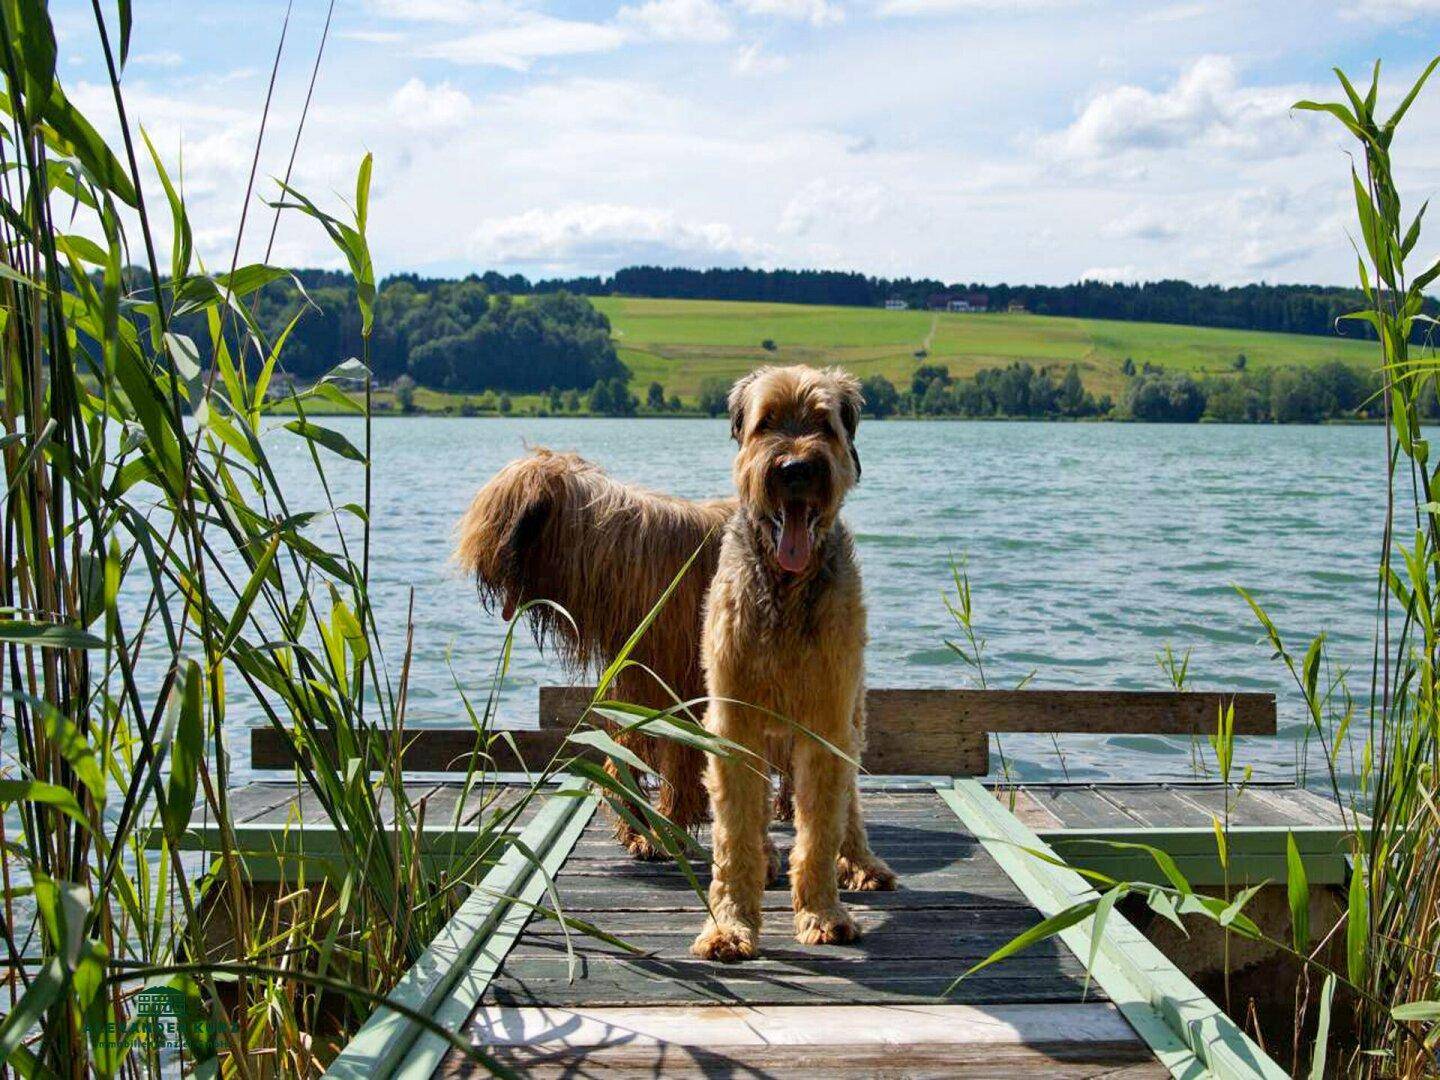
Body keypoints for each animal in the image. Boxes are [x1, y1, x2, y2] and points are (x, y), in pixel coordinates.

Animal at [691, 365, 892, 961]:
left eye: (823, 424)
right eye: (767, 423)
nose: (797, 468)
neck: (785, 588)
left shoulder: (828, 719)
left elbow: (821, 823)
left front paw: (823, 913)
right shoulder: (733, 719)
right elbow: (733, 830)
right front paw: (729, 925)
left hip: (853, 714)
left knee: (850, 802)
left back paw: (862, 863)